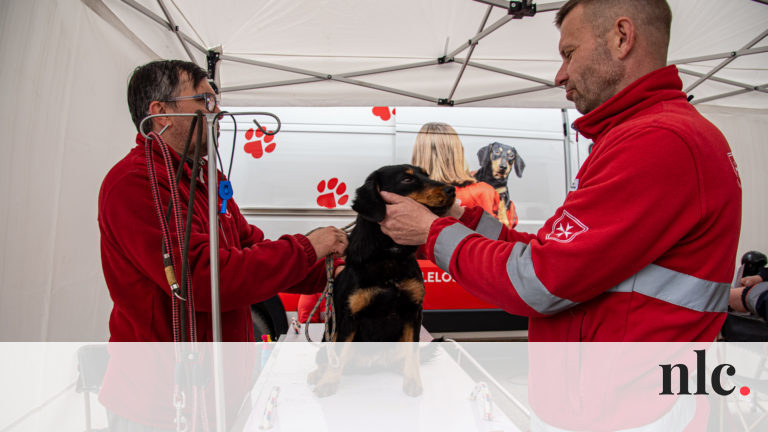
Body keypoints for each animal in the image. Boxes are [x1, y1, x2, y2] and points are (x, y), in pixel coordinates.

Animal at [308, 165, 456, 398]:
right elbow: (339, 353)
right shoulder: (349, 317)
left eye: (426, 174)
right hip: (326, 341)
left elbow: (413, 352)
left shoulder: (413, 312)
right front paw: (328, 382)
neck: (389, 255)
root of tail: (371, 365)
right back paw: (319, 374)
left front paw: (413, 380)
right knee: (331, 358)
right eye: (407, 179)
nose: (453, 189)